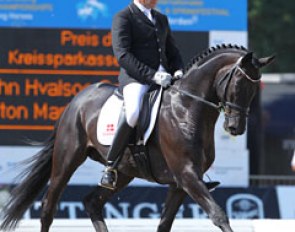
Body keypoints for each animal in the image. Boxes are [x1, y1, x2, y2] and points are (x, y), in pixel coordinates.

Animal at [0, 44, 276, 231]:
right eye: (238, 84)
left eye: (254, 89)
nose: (235, 128)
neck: (187, 109)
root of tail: (76, 100)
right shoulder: (187, 176)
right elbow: (219, 214)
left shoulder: (179, 184)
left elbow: (164, 225)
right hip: (67, 159)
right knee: (49, 206)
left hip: (123, 171)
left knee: (92, 202)